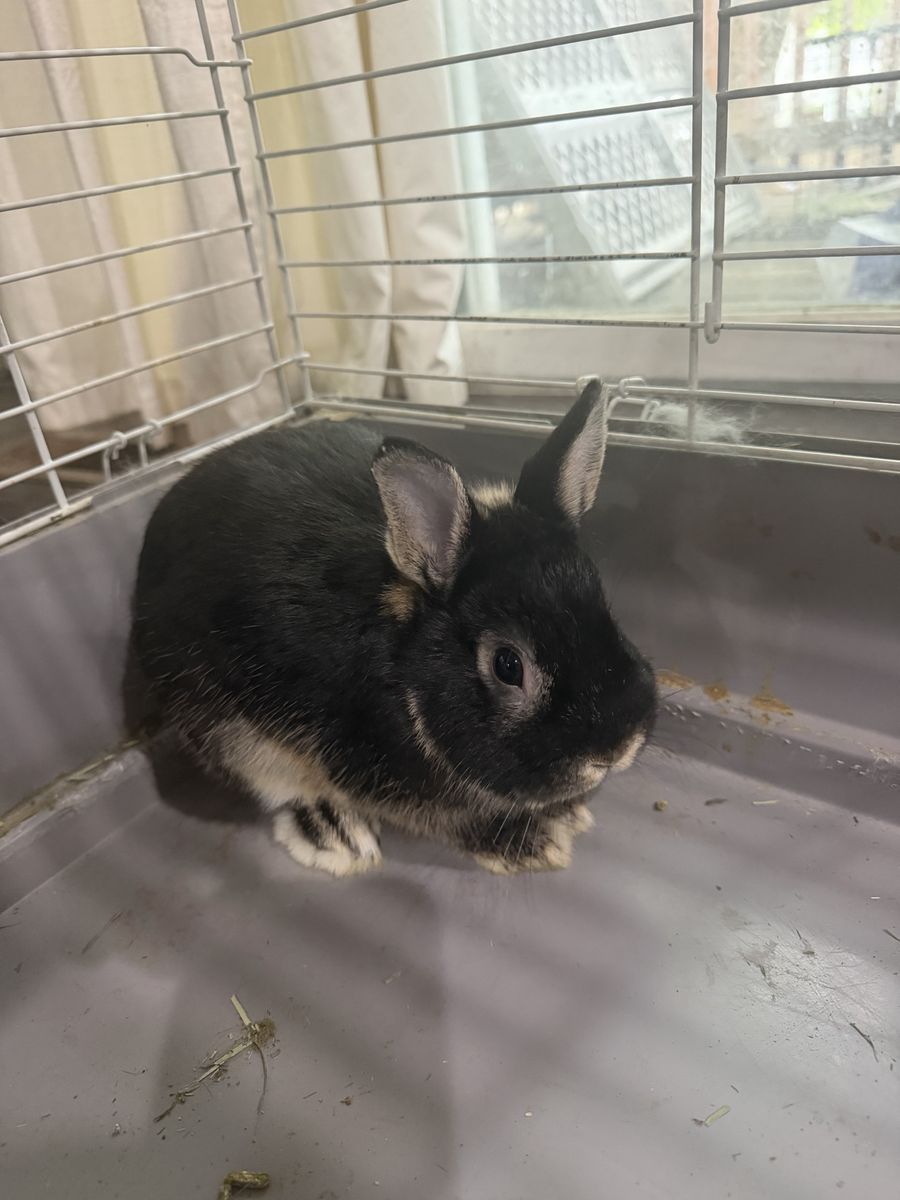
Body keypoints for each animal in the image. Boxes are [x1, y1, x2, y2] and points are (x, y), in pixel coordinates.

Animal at [132, 378, 657, 877]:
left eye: (604, 605)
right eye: (508, 665)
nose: (615, 750)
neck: (402, 657)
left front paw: (565, 815)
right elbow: (447, 819)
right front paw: (531, 842)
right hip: (225, 730)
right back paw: (335, 833)